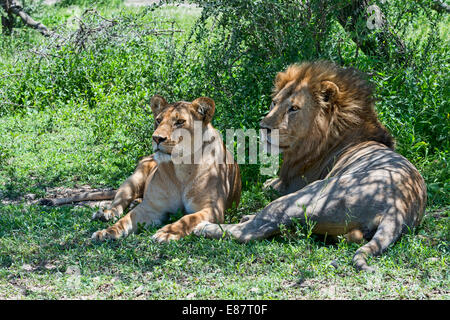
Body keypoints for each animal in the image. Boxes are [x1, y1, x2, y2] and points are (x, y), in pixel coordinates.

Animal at [195, 61, 428, 272]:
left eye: (294, 108)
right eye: (274, 103)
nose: (263, 127)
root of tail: (397, 209)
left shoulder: (289, 185)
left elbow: (267, 186)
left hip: (308, 196)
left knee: (252, 230)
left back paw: (205, 227)